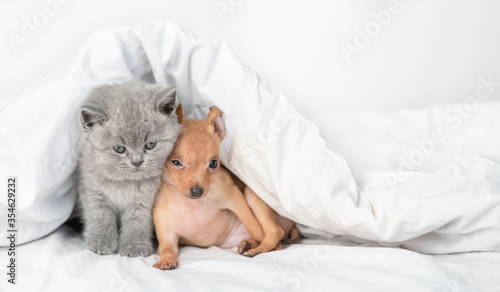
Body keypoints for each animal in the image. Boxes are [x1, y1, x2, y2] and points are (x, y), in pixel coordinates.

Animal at [77, 79, 181, 256]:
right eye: (119, 148)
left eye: (150, 145)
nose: (137, 161)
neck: (124, 183)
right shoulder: (92, 189)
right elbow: (99, 215)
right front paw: (100, 240)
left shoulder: (143, 201)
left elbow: (137, 221)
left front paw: (135, 246)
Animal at [152, 106, 298, 270]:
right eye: (175, 162)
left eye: (213, 163)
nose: (197, 191)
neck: (191, 204)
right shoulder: (167, 233)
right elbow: (166, 249)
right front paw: (165, 261)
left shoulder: (235, 199)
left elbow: (255, 228)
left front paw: (273, 246)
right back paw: (248, 244)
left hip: (251, 193)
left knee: (274, 231)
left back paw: (258, 248)